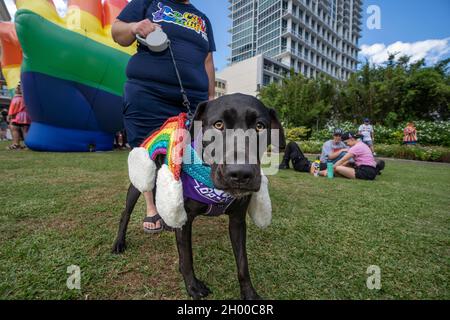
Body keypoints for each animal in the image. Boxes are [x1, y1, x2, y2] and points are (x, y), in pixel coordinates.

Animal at [111, 94, 284, 300]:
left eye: (260, 126)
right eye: (218, 124)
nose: (241, 173)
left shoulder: (237, 221)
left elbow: (243, 263)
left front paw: (249, 293)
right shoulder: (185, 220)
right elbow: (187, 257)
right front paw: (192, 286)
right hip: (140, 178)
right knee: (126, 213)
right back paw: (119, 243)